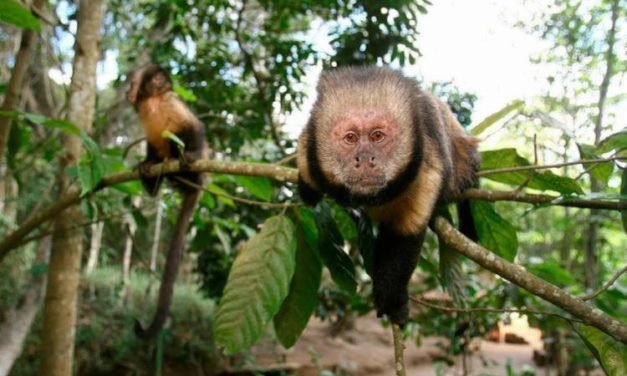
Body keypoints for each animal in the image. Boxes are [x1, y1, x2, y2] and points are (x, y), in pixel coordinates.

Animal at [125, 62, 209, 338]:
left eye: (133, 83)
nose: (127, 91)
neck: (152, 101)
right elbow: (152, 142)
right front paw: (147, 163)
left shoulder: (171, 100)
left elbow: (194, 127)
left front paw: (190, 154)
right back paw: (155, 170)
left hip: (198, 173)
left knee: (180, 136)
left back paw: (180, 161)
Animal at [296, 66, 478, 324]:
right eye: (350, 138)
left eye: (377, 136)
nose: (364, 159)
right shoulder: (308, 149)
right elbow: (306, 175)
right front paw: (308, 191)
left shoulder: (427, 168)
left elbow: (403, 235)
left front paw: (392, 300)